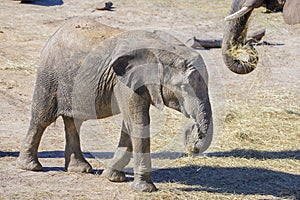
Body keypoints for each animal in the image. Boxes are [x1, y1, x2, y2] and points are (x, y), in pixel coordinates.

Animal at [15, 17, 213, 192]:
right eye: (183, 87)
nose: (191, 133)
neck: (162, 49)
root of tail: (58, 31)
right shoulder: (125, 81)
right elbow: (138, 124)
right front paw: (145, 189)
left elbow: (129, 125)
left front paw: (112, 177)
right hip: (50, 74)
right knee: (42, 118)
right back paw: (31, 167)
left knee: (74, 121)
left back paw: (80, 169)